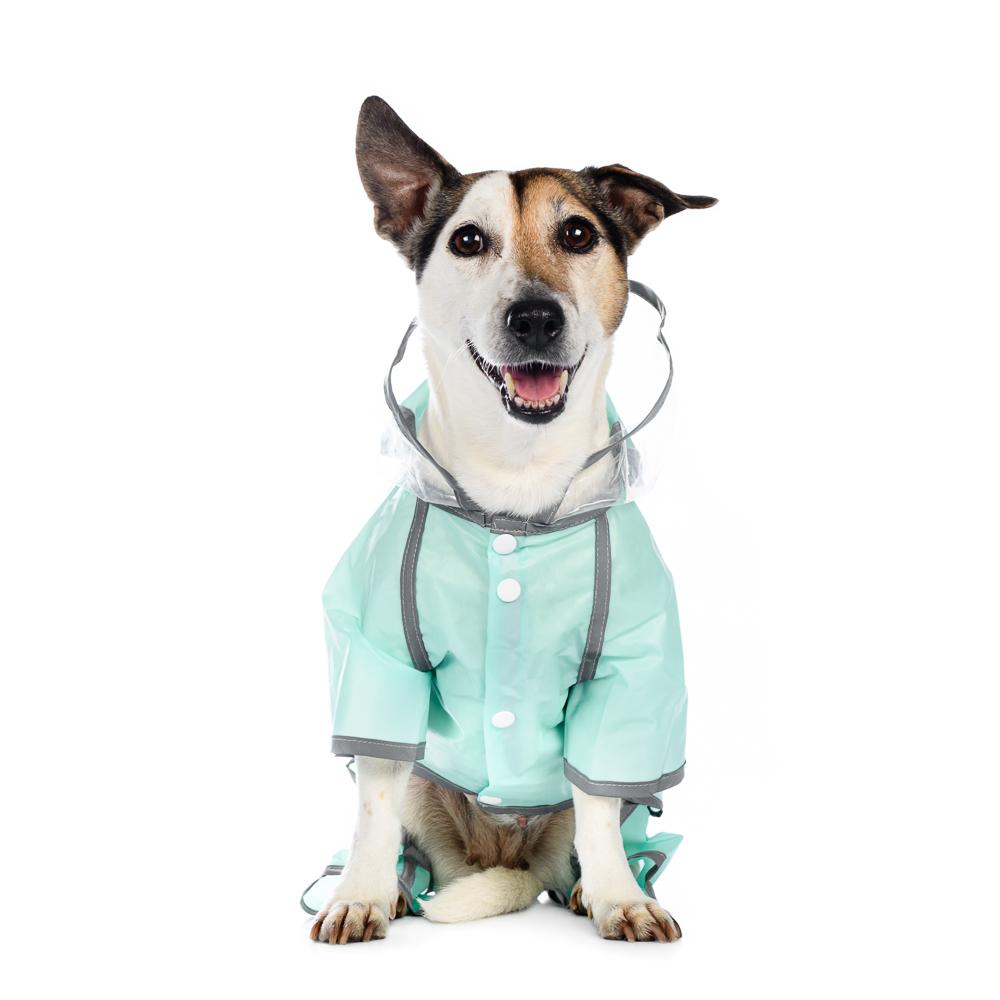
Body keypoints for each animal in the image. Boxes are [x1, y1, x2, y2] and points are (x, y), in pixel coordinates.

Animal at [309, 96, 715, 944]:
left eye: (579, 234)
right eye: (468, 240)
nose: (534, 317)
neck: (514, 483)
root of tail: (502, 856)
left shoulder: (630, 672)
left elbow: (599, 806)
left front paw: (620, 898)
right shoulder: (377, 655)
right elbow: (373, 799)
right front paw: (360, 895)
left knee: (595, 831)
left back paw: (592, 887)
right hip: (429, 786)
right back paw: (399, 885)